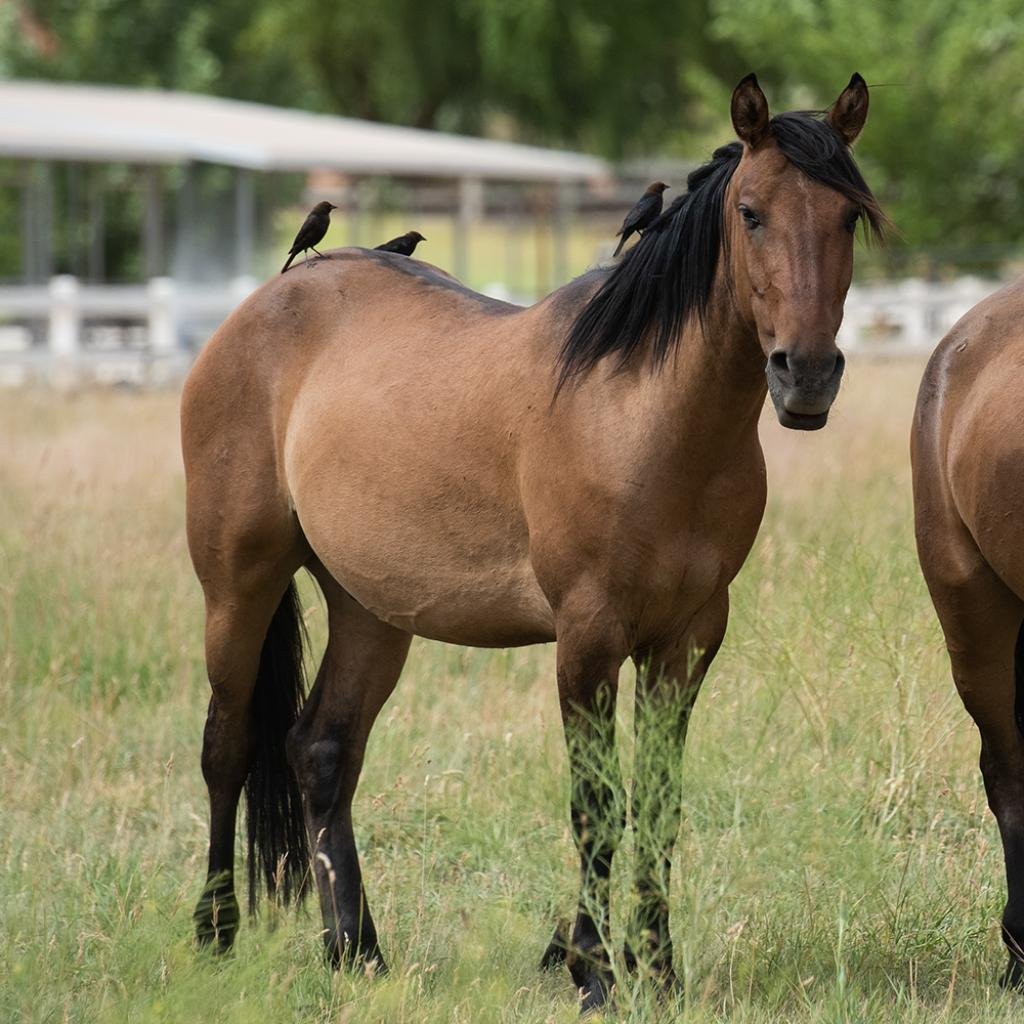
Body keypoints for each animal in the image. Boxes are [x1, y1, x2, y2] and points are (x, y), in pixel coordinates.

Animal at [182, 74, 880, 1007]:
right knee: (225, 748)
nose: (805, 377)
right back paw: (215, 933)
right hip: (238, 583)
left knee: (321, 751)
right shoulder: (586, 638)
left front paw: (659, 970)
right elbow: (597, 806)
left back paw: (356, 951)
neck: (646, 415)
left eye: (847, 217)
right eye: (752, 213)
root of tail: (268, 299)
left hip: (371, 610)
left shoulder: (689, 640)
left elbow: (656, 803)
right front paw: (592, 972)